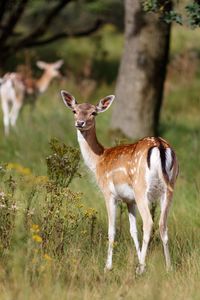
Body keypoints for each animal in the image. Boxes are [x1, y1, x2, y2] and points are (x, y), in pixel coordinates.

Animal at [60, 90, 178, 276]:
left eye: (94, 112)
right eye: (75, 111)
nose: (80, 123)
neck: (99, 161)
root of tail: (160, 146)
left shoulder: (109, 193)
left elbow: (112, 230)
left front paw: (108, 266)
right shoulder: (129, 200)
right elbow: (132, 230)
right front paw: (138, 259)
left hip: (141, 188)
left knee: (149, 223)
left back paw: (140, 269)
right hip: (169, 188)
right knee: (163, 225)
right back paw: (168, 267)